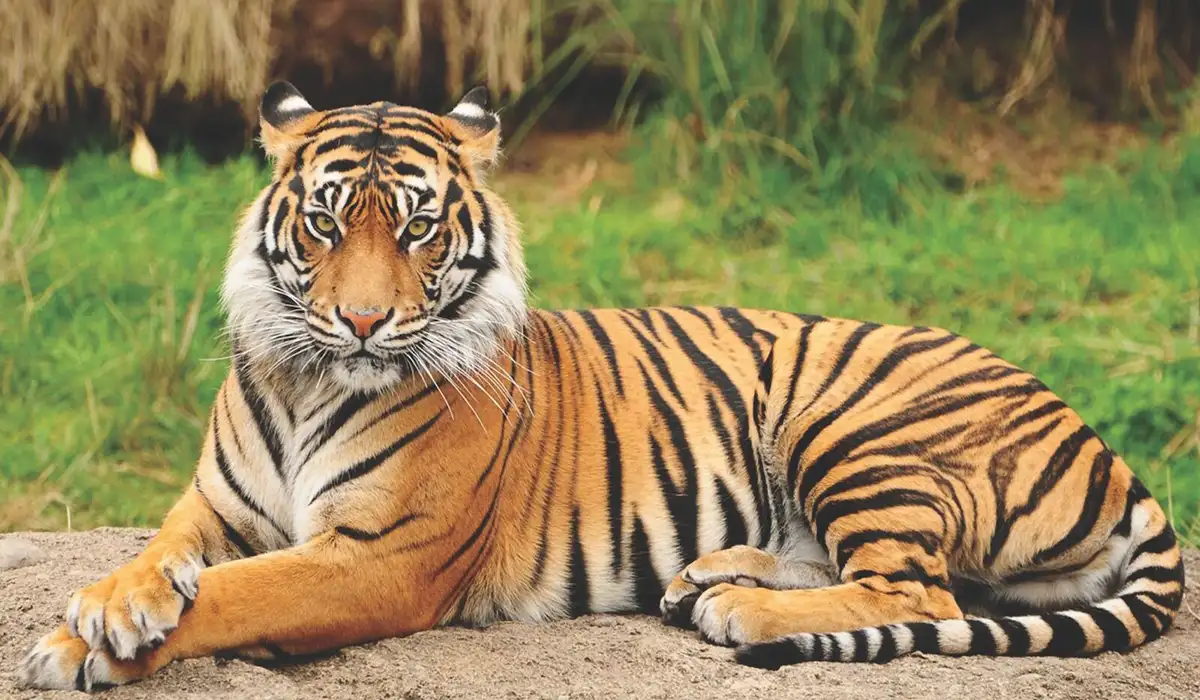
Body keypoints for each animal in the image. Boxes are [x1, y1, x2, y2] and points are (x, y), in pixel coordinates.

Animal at [17, 82, 1184, 691]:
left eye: (418, 229)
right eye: (323, 223)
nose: (362, 321)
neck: (310, 381)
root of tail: (1105, 447)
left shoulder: (381, 557)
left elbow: (241, 592)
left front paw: (78, 645)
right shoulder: (215, 506)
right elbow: (161, 557)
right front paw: (110, 605)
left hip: (852, 420)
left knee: (921, 590)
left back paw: (743, 612)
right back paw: (710, 577)